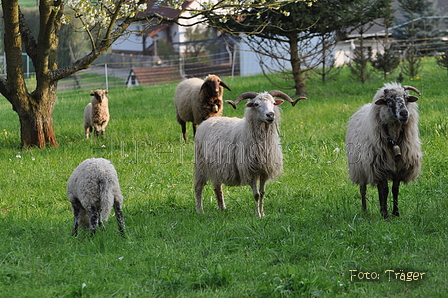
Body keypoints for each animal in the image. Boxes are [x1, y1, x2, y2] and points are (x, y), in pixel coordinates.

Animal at [194, 89, 306, 218]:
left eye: (273, 103)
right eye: (256, 104)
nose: (270, 115)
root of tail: (207, 121)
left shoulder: (264, 171)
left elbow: (262, 193)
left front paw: (263, 213)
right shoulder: (250, 171)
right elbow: (256, 195)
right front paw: (257, 215)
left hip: (216, 168)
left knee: (217, 187)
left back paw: (222, 208)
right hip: (200, 164)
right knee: (198, 187)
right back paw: (199, 210)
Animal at [344, 81, 422, 219]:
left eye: (406, 98)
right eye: (389, 100)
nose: (404, 113)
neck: (394, 140)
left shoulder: (399, 168)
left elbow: (394, 190)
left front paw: (396, 213)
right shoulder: (380, 168)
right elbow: (384, 190)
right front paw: (385, 215)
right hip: (360, 168)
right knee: (363, 189)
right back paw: (364, 210)